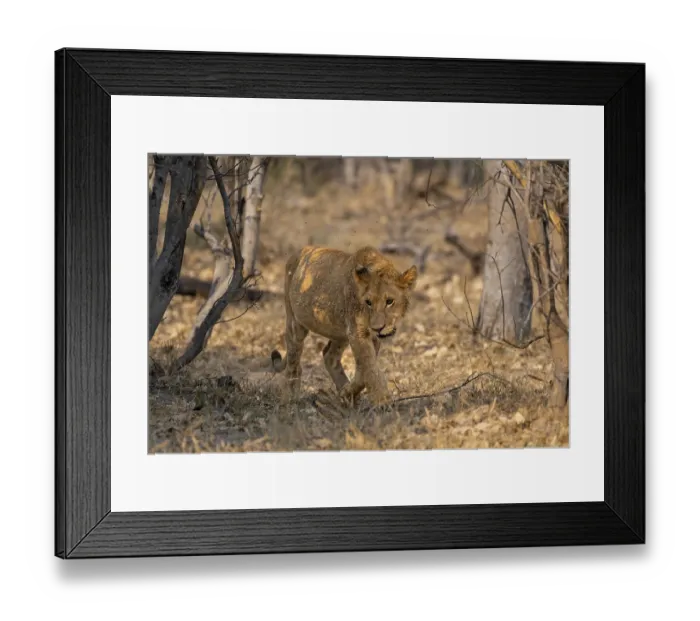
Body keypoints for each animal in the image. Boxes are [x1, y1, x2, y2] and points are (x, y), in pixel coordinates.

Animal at [271, 245, 418, 405]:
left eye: (390, 301)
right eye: (368, 302)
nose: (377, 328)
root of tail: (300, 251)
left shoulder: (369, 337)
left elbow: (363, 370)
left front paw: (347, 392)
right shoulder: (357, 332)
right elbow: (369, 367)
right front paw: (382, 400)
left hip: (340, 333)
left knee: (329, 356)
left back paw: (344, 393)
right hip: (295, 323)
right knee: (293, 362)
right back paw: (290, 398)